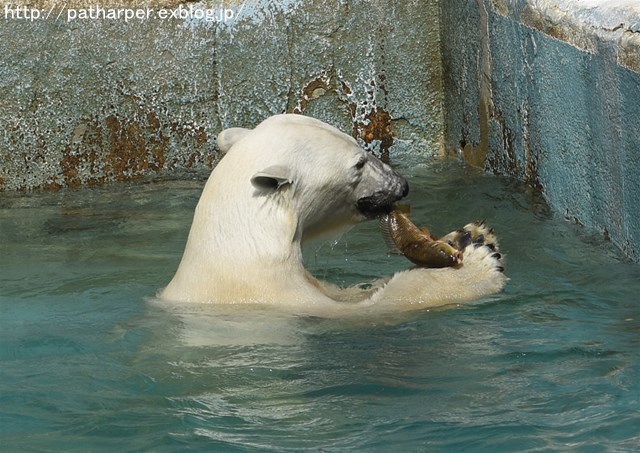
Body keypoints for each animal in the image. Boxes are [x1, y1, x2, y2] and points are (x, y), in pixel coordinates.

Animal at [161, 112, 504, 310]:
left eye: (362, 147)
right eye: (359, 163)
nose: (402, 185)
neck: (243, 247)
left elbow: (351, 292)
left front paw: (470, 235)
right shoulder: (284, 296)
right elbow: (377, 304)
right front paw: (480, 262)